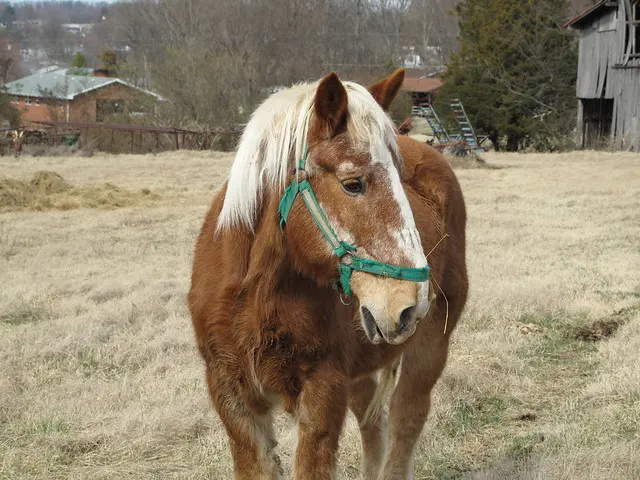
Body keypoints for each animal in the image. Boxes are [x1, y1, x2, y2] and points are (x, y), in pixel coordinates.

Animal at [188, 68, 468, 480]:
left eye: (400, 179)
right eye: (353, 183)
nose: (410, 304)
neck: (255, 295)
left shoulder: (323, 392)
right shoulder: (233, 399)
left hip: (430, 347)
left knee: (406, 420)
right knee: (374, 426)